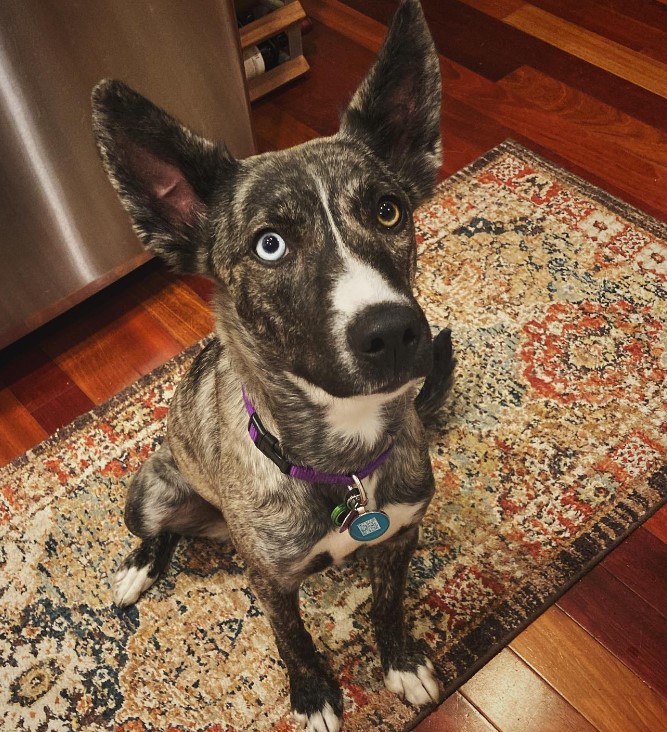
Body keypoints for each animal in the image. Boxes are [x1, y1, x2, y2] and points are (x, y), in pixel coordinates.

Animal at [92, 2, 454, 728]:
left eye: (389, 210)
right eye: (270, 245)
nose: (394, 331)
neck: (344, 458)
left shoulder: (400, 537)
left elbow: (388, 602)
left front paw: (400, 662)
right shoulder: (270, 580)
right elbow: (292, 637)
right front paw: (313, 694)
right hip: (149, 492)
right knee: (158, 535)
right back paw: (139, 569)